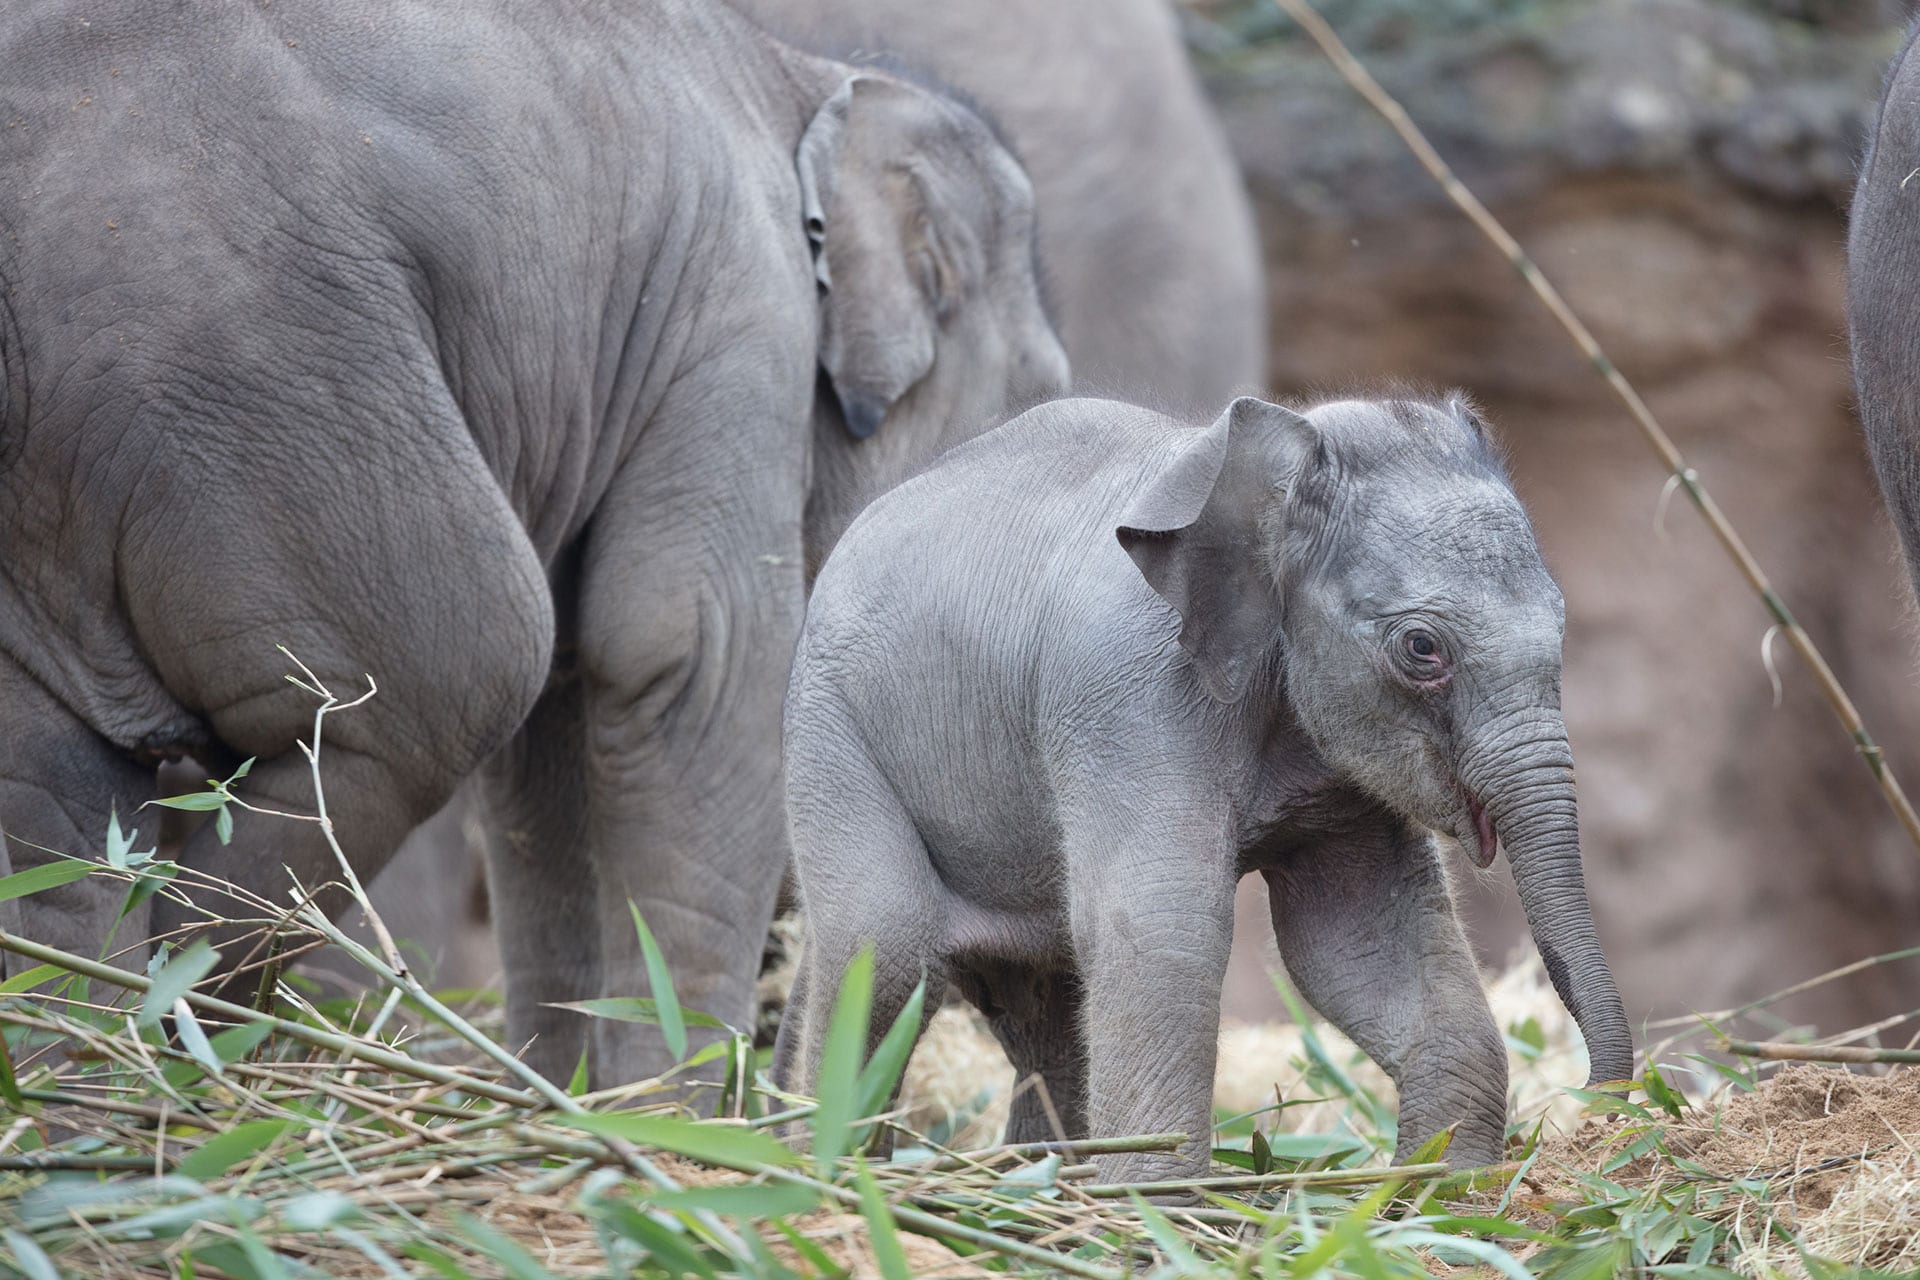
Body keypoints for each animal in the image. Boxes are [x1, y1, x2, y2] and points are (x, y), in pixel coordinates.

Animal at [0, 0, 1067, 1090]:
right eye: (1033, 397)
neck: (797, 79)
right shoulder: (739, 313)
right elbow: (688, 655)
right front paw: (669, 1107)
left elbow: (553, 747)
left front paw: (569, 1092)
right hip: (242, 367)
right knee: (447, 673)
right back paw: (182, 1026)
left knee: (51, 796)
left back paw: (97, 1066)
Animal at [771, 393, 1628, 1182]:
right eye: (1422, 648)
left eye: (1561, 623)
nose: (1597, 1106)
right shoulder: (1126, 693)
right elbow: (1161, 927)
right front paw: (1159, 1208)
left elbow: (1358, 941)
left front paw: (1447, 1195)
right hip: (828, 730)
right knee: (886, 944)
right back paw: (833, 1174)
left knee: (1044, 997)